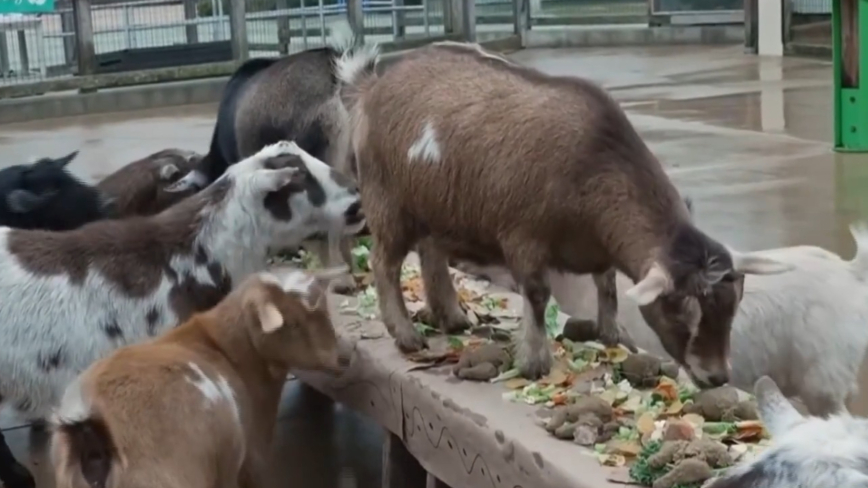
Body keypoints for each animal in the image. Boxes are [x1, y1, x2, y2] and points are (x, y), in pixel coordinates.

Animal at [50, 264, 350, 488]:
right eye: (293, 323)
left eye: (325, 311)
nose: (342, 359)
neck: (224, 348)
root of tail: (92, 425)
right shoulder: (248, 462)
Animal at [334, 41, 792, 382]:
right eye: (680, 307)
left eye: (733, 303)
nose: (716, 377)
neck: (594, 162)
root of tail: (370, 87)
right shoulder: (522, 235)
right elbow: (538, 295)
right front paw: (535, 361)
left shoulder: (598, 249)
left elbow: (607, 285)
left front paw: (614, 334)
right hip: (387, 198)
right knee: (385, 263)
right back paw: (407, 335)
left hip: (435, 203)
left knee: (431, 252)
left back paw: (452, 316)